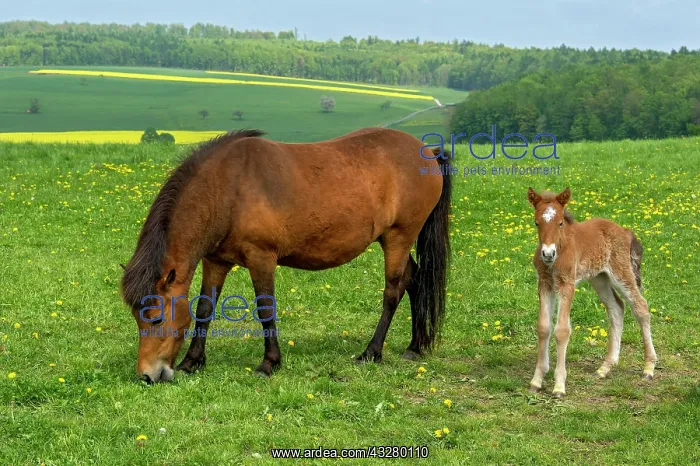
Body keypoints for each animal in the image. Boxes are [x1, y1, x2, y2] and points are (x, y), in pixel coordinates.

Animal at [120, 128, 452, 383]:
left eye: (155, 318)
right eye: (137, 318)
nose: (147, 375)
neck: (227, 187)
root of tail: (428, 151)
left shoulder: (261, 258)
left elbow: (266, 310)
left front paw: (269, 363)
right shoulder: (216, 261)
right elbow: (204, 310)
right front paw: (192, 361)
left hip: (399, 237)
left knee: (393, 291)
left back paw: (372, 352)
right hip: (392, 240)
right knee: (415, 279)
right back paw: (414, 346)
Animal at [526, 187, 657, 397]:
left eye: (560, 222)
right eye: (536, 222)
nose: (547, 254)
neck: (561, 249)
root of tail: (625, 231)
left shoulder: (567, 284)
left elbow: (562, 331)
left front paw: (559, 386)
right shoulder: (545, 284)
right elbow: (544, 328)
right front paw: (536, 381)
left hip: (621, 272)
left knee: (640, 307)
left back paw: (648, 368)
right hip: (599, 278)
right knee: (617, 308)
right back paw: (605, 368)